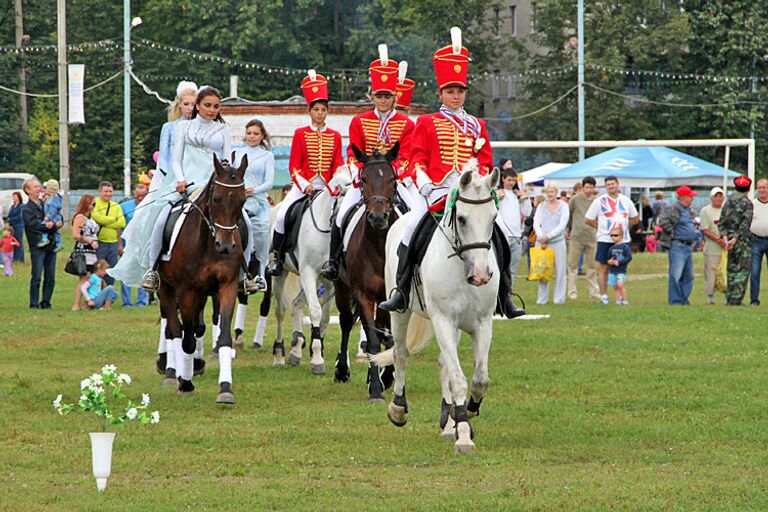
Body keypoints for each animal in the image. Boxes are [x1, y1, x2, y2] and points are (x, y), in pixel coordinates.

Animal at [158, 152, 248, 404]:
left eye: (242, 201)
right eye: (216, 199)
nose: (225, 246)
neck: (208, 244)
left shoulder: (226, 287)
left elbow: (223, 336)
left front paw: (225, 389)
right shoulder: (188, 291)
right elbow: (185, 339)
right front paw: (185, 382)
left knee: (195, 327)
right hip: (166, 289)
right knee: (175, 329)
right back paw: (175, 373)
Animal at [270, 170, 348, 374]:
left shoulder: (331, 279)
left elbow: (326, 317)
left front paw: (316, 350)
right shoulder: (308, 272)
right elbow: (315, 311)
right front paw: (317, 360)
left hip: (320, 280)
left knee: (297, 304)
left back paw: (296, 350)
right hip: (281, 275)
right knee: (280, 311)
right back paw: (279, 354)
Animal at [332, 142, 400, 402]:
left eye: (392, 178)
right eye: (363, 179)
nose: (378, 217)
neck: (380, 244)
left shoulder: (392, 297)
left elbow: (389, 338)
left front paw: (386, 377)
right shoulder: (363, 295)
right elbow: (372, 339)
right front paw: (376, 390)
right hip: (342, 288)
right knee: (345, 322)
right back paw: (342, 370)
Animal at [372, 162, 504, 454]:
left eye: (493, 217)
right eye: (462, 219)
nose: (481, 275)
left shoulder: (482, 323)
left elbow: (480, 379)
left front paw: (465, 414)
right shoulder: (443, 319)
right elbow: (458, 378)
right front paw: (464, 435)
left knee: (444, 361)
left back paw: (449, 421)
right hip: (400, 312)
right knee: (401, 354)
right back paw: (398, 409)